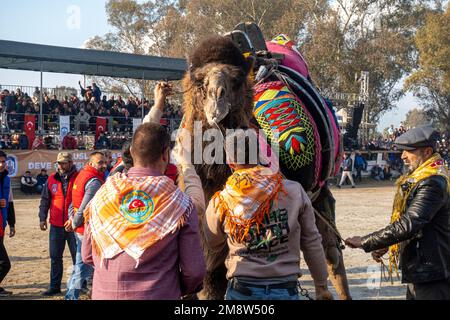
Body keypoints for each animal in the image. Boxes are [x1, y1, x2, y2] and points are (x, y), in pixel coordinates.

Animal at [176, 35, 352, 300]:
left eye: (236, 80)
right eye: (199, 79)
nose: (217, 100)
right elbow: (209, 281)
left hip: (319, 192)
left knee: (330, 250)